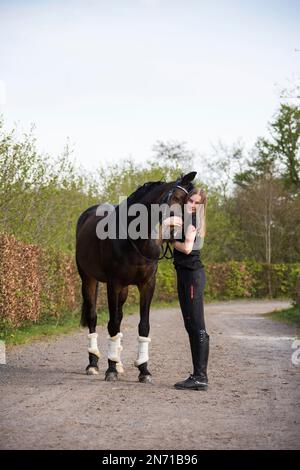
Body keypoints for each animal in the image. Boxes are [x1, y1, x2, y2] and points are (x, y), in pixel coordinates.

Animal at [75, 171, 197, 384]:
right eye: (175, 198)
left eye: (189, 203)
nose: (182, 233)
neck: (135, 240)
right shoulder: (113, 284)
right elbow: (112, 324)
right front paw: (110, 370)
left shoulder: (147, 284)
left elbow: (143, 326)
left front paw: (143, 370)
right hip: (88, 279)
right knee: (93, 317)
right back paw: (93, 364)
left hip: (124, 289)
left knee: (119, 316)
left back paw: (117, 362)